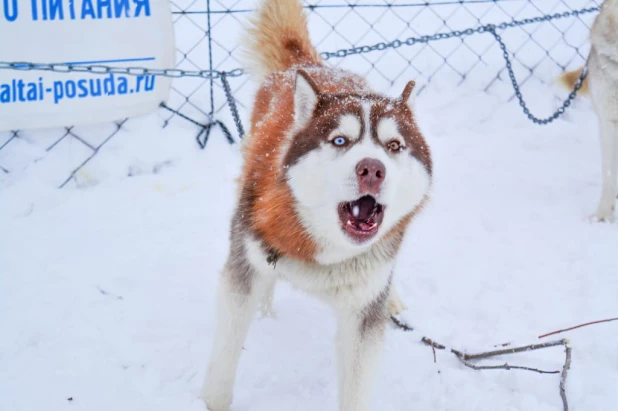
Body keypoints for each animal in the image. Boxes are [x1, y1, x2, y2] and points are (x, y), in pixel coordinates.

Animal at [200, 1, 430, 410]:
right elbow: (225, 354)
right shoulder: (243, 269)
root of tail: (312, 66)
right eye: (340, 140)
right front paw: (211, 401)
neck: (324, 250)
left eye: (394, 146)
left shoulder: (362, 313)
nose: (372, 169)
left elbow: (357, 385)